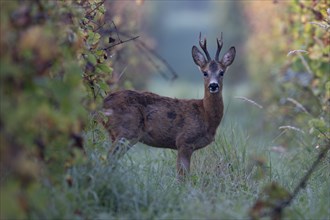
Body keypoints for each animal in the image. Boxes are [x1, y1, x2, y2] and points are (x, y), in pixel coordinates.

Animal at [102, 33, 235, 179]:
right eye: (205, 72)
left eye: (222, 72)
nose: (213, 85)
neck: (205, 115)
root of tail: (103, 103)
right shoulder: (184, 141)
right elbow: (183, 176)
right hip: (127, 131)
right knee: (108, 158)